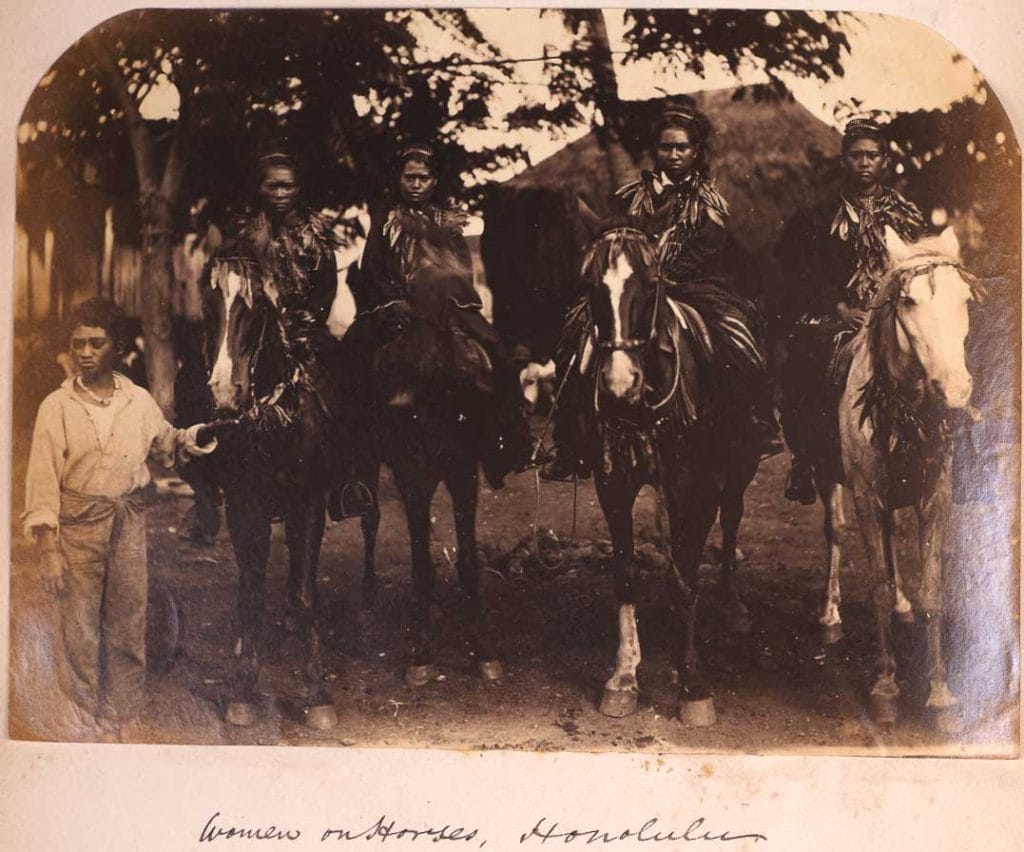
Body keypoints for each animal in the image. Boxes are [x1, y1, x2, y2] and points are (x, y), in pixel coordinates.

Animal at [199, 262, 380, 729]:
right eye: (207, 306)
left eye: (257, 308)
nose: (225, 394)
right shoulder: (244, 507)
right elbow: (251, 593)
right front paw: (243, 685)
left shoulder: (309, 505)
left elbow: (305, 594)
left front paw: (317, 692)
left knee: (369, 528)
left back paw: (368, 604)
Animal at [374, 270, 505, 688]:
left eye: (470, 398)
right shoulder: (411, 477)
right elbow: (422, 566)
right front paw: (420, 652)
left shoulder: (464, 473)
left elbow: (468, 559)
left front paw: (483, 650)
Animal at [577, 221, 770, 725]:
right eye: (592, 287)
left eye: (650, 286)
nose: (619, 387)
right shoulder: (614, 485)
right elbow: (625, 573)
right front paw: (624, 676)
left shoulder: (695, 487)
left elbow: (683, 582)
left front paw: (693, 686)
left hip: (739, 465)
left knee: (731, 517)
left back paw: (732, 604)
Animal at [819, 223, 978, 729]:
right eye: (907, 301)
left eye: (964, 298)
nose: (955, 390)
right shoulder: (867, 497)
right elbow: (878, 589)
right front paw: (886, 686)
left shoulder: (934, 497)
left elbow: (932, 591)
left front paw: (941, 694)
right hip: (826, 478)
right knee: (835, 531)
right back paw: (829, 614)